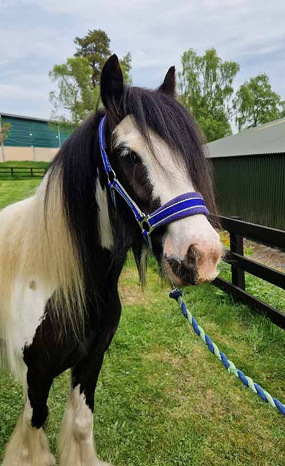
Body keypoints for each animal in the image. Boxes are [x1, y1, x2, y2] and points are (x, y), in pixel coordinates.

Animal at [0, 55, 222, 466]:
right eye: (128, 155)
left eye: (186, 153)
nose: (203, 254)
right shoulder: (35, 379)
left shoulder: (91, 362)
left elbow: (81, 425)